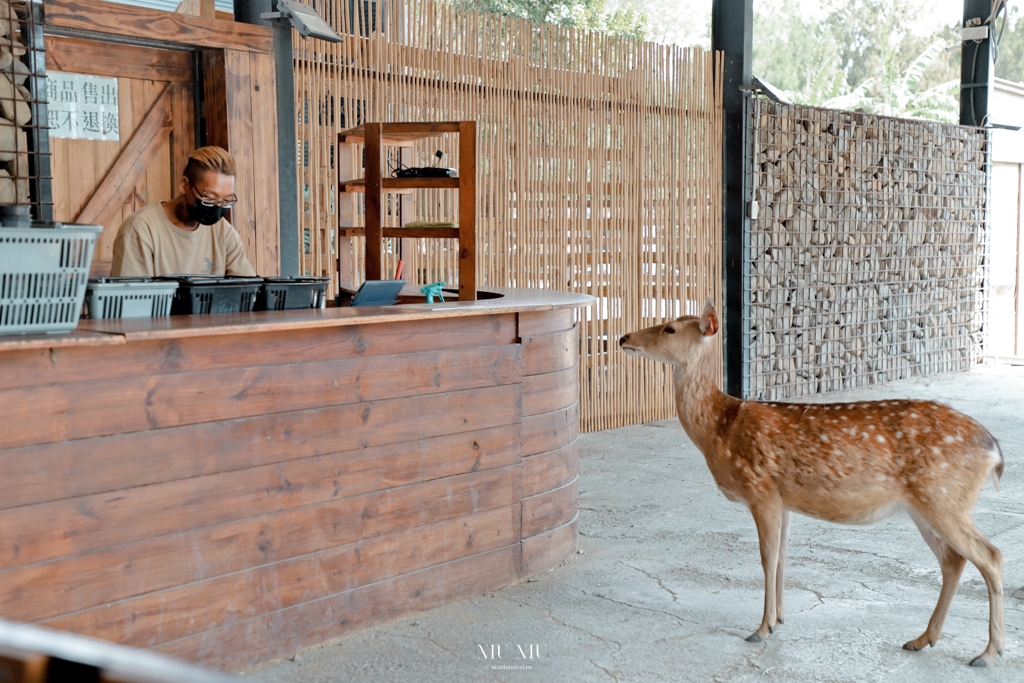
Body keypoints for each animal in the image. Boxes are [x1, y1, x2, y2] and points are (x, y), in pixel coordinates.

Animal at [618, 299, 1003, 667]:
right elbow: (783, 557)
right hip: (925, 505)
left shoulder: (761, 490)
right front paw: (780, 619)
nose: (623, 338)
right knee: (954, 560)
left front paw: (761, 628)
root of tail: (994, 451)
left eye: (669, 328)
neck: (719, 428)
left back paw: (987, 653)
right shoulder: (783, 499)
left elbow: (766, 558)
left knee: (991, 555)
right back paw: (922, 639)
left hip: (942, 497)